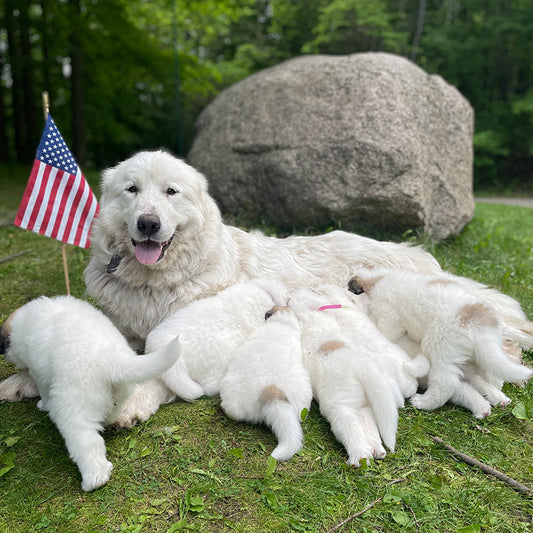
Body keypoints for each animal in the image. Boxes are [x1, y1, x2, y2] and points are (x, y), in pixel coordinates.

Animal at [0, 296, 179, 490]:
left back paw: (94, 479)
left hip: (74, 411)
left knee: (88, 443)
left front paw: (43, 404)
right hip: (118, 396)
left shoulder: (38, 371)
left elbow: (43, 389)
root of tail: (110, 361)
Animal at [350, 268, 532, 418]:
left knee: (447, 382)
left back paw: (423, 402)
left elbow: (385, 328)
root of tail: (479, 328)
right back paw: (497, 396)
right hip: (482, 353)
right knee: (489, 373)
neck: (377, 280)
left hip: (440, 346)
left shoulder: (389, 313)